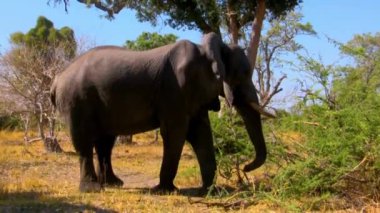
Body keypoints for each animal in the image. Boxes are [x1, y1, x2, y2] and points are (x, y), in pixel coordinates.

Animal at [51, 32, 270, 193]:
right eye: (243, 74)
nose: (245, 167)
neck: (207, 50)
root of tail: (57, 78)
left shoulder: (194, 94)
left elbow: (201, 134)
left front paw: (210, 191)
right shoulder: (175, 89)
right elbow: (176, 132)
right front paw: (165, 190)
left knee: (105, 143)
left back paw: (113, 184)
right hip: (77, 100)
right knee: (84, 142)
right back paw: (92, 189)